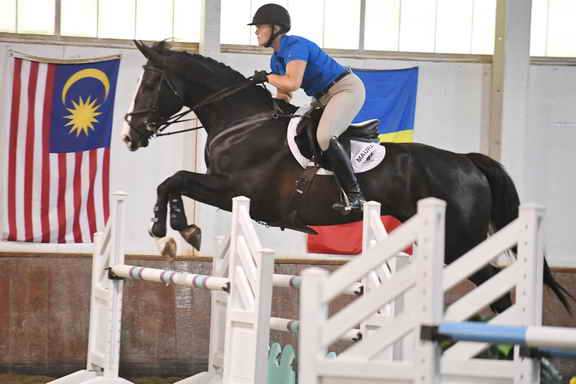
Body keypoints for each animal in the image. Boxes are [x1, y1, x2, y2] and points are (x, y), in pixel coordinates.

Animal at [124, 40, 568, 314]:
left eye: (151, 83)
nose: (131, 135)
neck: (242, 122)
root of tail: (468, 162)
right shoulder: (227, 189)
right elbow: (174, 181)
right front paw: (181, 230)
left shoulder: (236, 189)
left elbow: (174, 179)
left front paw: (170, 228)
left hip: (462, 243)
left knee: (498, 292)